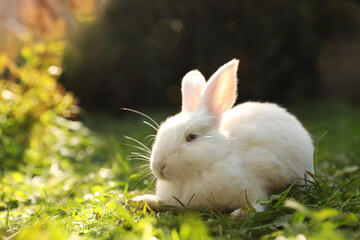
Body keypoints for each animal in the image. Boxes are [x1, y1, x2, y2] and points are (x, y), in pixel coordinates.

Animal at [134, 58, 314, 216]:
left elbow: (257, 201)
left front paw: (241, 214)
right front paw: (143, 200)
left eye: (192, 137)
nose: (159, 167)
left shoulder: (254, 184)